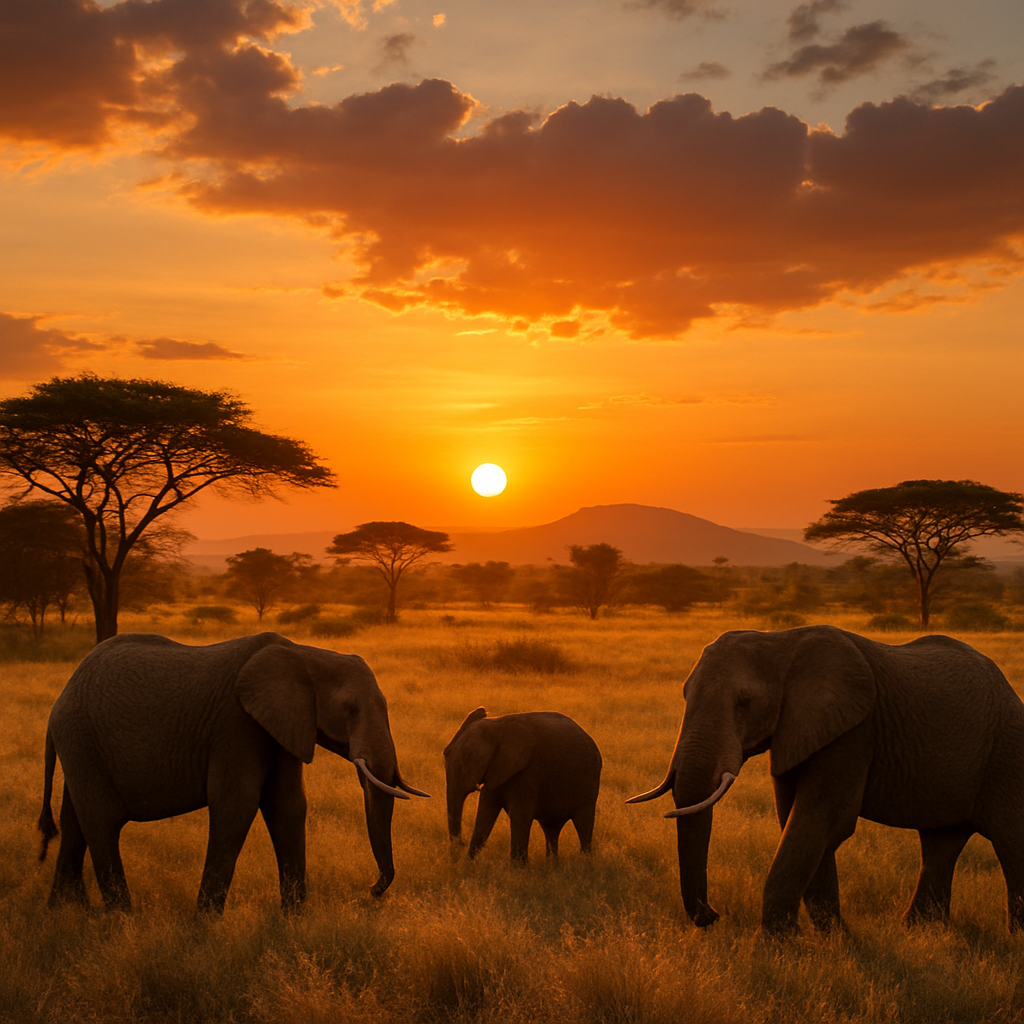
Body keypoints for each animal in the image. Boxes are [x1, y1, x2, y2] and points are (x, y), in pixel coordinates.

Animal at [38, 631, 428, 912]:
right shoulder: (235, 723)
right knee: (101, 822)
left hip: (81, 746)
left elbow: (289, 806)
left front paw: (295, 919)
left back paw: (65, 912)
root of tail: (61, 697)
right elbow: (235, 806)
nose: (371, 891)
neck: (303, 654)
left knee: (74, 820)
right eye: (349, 709)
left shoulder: (282, 725)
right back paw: (121, 920)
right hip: (81, 737)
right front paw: (204, 926)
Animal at [444, 707, 602, 862]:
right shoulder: (496, 769)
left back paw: (585, 862)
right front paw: (469, 864)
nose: (461, 843)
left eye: (468, 756)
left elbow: (519, 815)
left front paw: (517, 867)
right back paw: (552, 864)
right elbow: (486, 811)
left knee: (584, 824)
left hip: (589, 783)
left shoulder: (529, 769)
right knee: (551, 829)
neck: (496, 726)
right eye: (446, 752)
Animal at [628, 625, 1024, 935]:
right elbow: (798, 820)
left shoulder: (853, 731)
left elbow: (821, 819)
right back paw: (920, 932)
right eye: (684, 694)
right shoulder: (801, 730)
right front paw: (836, 939)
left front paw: (777, 946)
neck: (781, 641)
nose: (713, 916)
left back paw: (1012, 939)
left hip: (1007, 752)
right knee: (941, 842)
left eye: (744, 702)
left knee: (1009, 840)